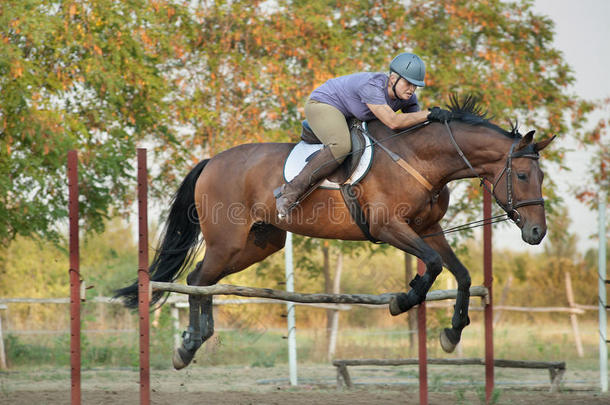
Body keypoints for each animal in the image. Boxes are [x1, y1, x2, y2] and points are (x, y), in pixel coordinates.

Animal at [115, 95, 556, 370]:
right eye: (521, 175)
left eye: (541, 176)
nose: (537, 232)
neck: (421, 158)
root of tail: (211, 161)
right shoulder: (388, 226)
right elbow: (431, 266)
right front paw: (402, 300)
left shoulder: (428, 229)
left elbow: (461, 275)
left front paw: (451, 332)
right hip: (228, 242)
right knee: (196, 280)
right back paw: (189, 345)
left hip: (257, 244)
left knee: (201, 280)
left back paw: (197, 338)